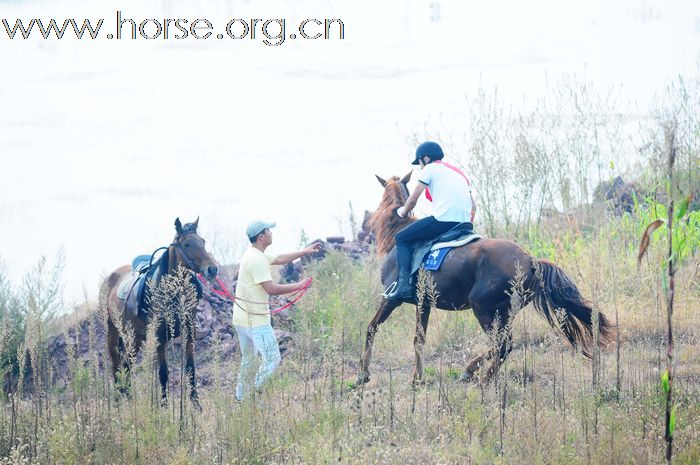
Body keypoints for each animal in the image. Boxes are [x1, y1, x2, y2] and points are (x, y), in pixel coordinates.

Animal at [100, 218, 217, 406]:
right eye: (186, 244)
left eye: (203, 241)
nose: (212, 269)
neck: (172, 293)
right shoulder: (159, 338)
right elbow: (163, 372)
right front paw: (163, 406)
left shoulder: (189, 334)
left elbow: (190, 368)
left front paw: (196, 404)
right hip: (113, 333)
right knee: (117, 365)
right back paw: (119, 399)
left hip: (135, 337)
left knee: (127, 364)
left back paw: (128, 398)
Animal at [358, 173, 616, 384]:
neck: (396, 236)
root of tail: (530, 260)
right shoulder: (424, 304)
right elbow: (418, 339)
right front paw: (417, 378)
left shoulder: (390, 299)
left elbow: (371, 328)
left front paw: (363, 374)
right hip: (504, 311)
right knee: (505, 345)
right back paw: (477, 373)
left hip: (483, 308)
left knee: (503, 344)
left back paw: (477, 376)